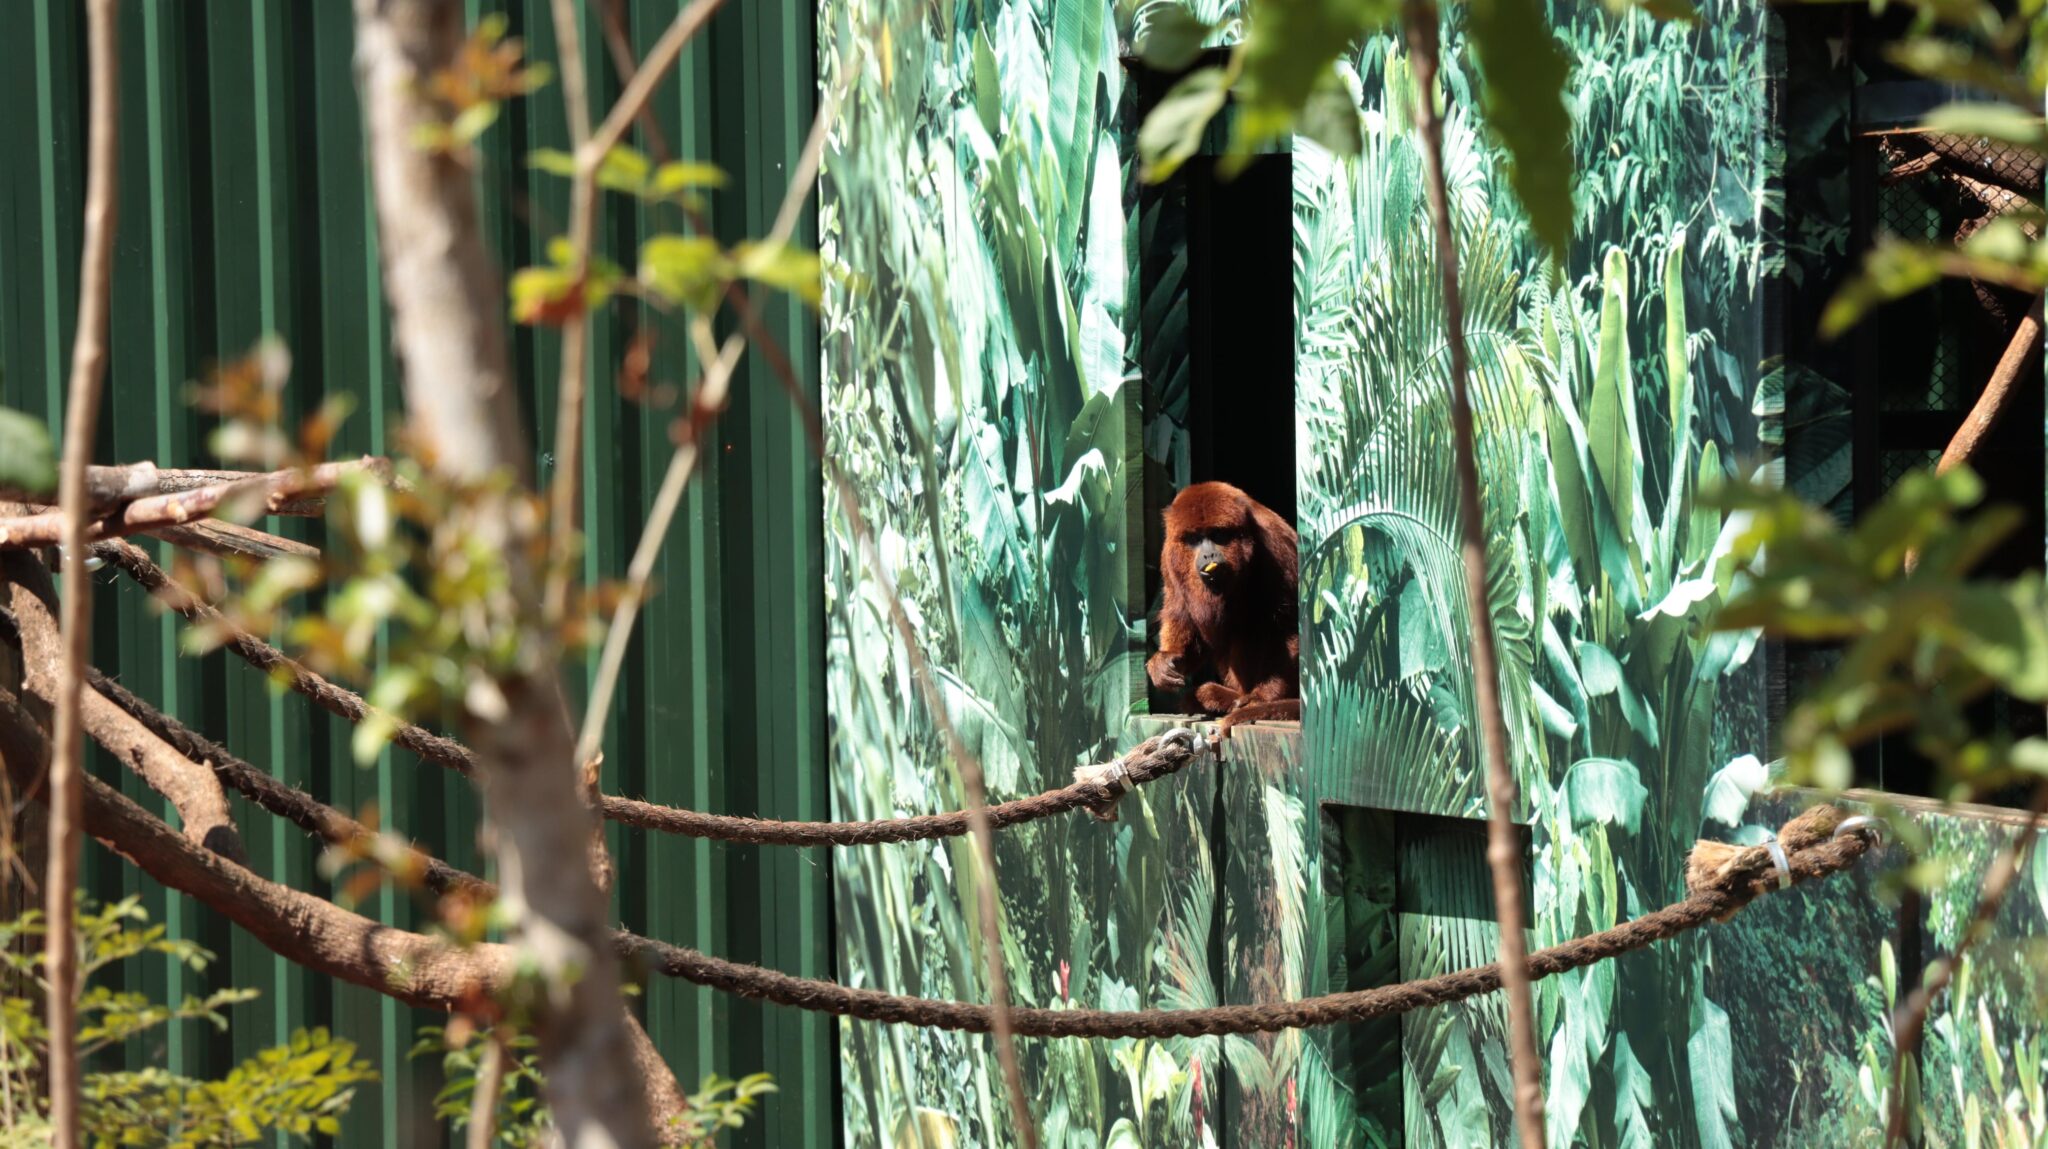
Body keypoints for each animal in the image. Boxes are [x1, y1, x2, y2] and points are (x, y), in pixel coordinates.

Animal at [1146, 477, 1302, 729]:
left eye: (1217, 535)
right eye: (1194, 539)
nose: (1209, 555)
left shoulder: (1277, 547)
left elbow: (1288, 626)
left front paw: (1263, 697)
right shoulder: (1169, 556)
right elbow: (1181, 612)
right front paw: (1166, 660)